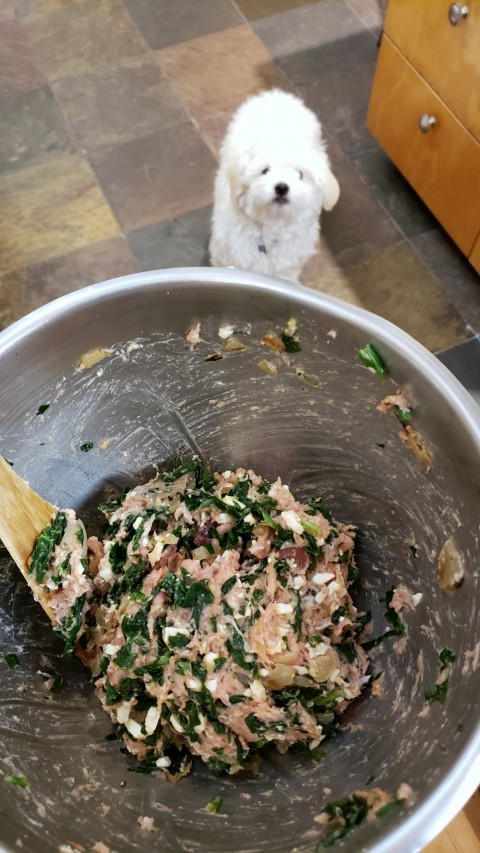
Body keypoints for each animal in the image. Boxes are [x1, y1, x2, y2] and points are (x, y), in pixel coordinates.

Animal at [210, 90, 342, 282]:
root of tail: (277, 95)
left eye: (300, 174)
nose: (281, 187)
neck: (270, 230)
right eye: (265, 171)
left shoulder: (287, 269)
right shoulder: (225, 255)